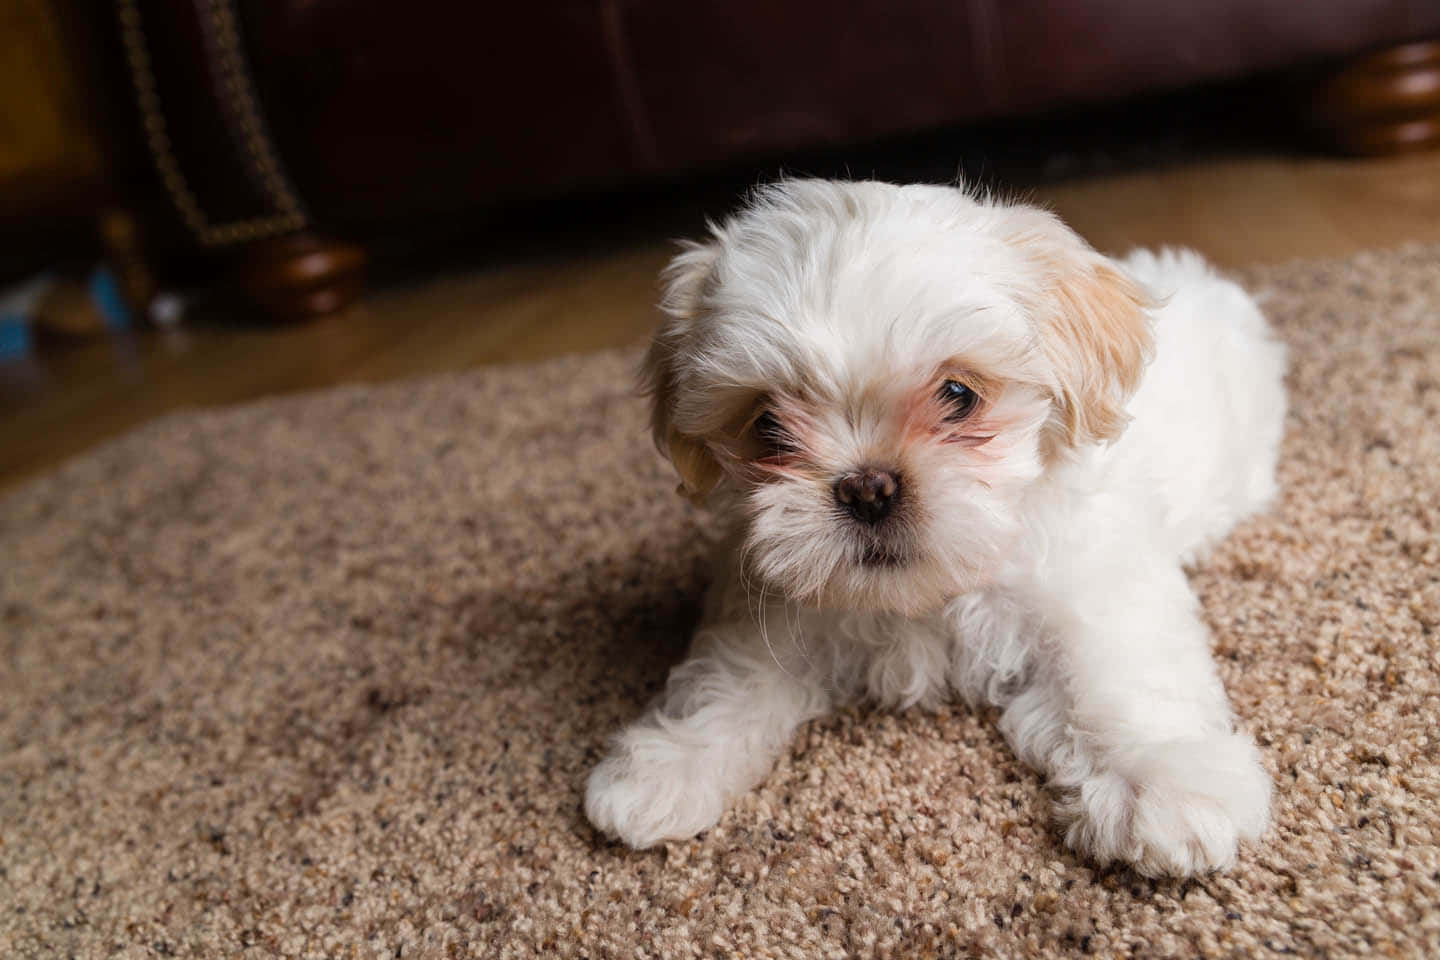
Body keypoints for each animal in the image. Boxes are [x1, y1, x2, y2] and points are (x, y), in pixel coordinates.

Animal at [587, 178, 1296, 880]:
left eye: (959, 395)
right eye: (767, 427)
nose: (867, 488)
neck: (929, 598)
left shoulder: (1094, 583)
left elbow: (1121, 673)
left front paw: (1163, 783)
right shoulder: (775, 604)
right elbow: (731, 677)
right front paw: (671, 764)